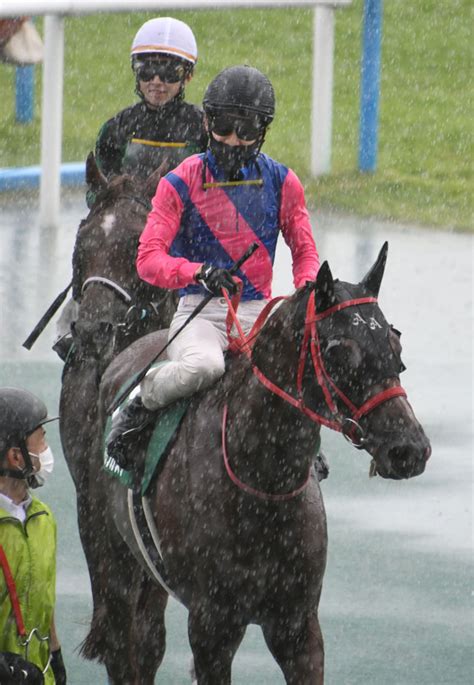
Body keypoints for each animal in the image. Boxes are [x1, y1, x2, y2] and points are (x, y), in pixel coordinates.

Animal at [80, 243, 430, 680]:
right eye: (338, 351)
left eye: (395, 346)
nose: (409, 448)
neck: (263, 482)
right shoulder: (212, 624)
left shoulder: (297, 625)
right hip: (113, 559)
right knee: (121, 648)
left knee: (147, 644)